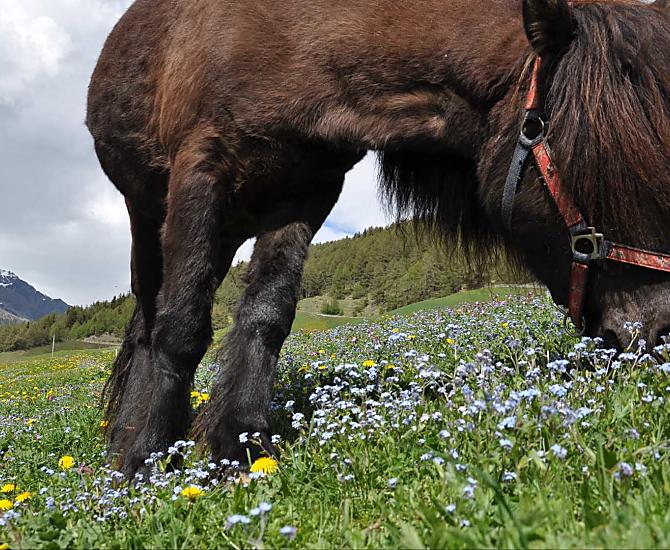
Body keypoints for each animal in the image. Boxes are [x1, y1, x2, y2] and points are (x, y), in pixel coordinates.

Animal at [87, 0, 670, 477]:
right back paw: (129, 439)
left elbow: (266, 315)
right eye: (594, 155)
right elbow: (181, 327)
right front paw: (147, 460)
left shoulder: (305, 196)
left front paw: (241, 445)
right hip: (149, 216)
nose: (659, 334)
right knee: (151, 319)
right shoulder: (200, 169)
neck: (293, 37)